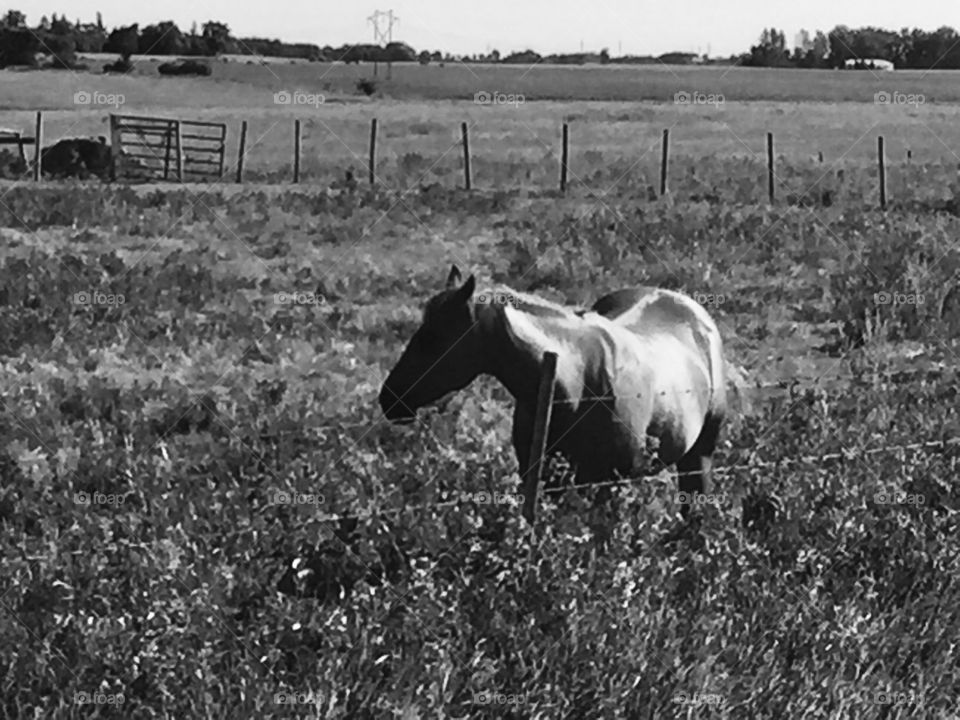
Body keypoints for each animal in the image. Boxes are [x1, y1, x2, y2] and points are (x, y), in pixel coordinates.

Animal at [378, 265, 728, 521]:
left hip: (699, 455)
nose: (389, 399)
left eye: (435, 338)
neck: (577, 384)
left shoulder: (608, 488)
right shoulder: (543, 481)